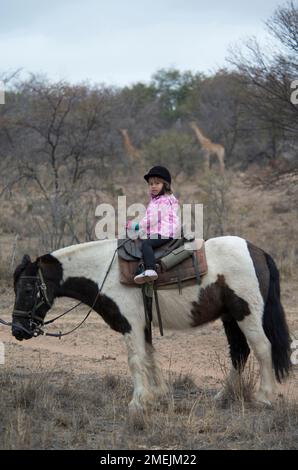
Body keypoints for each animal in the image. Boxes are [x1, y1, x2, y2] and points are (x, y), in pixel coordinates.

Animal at [11, 237, 292, 414]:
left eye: (28, 289)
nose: (17, 330)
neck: (105, 273)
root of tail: (257, 251)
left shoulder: (131, 324)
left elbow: (136, 360)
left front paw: (137, 402)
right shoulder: (143, 325)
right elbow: (149, 357)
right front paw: (156, 395)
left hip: (247, 313)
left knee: (262, 348)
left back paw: (264, 397)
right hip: (230, 317)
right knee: (239, 353)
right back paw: (223, 396)